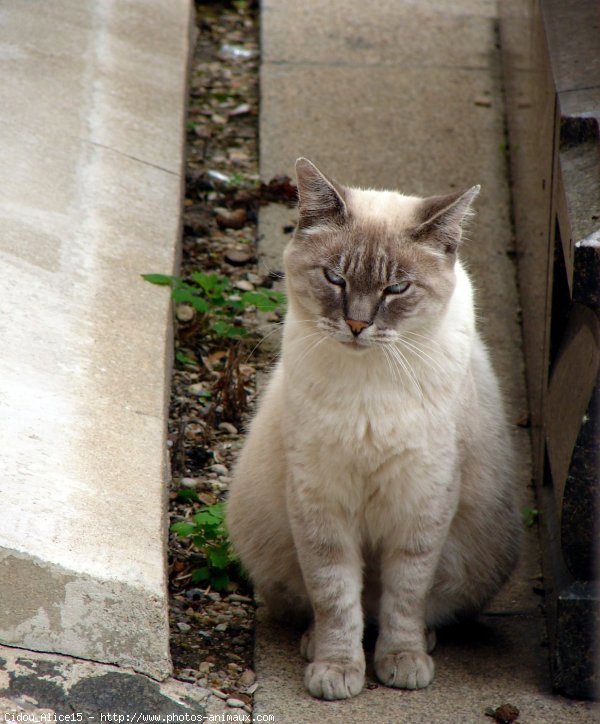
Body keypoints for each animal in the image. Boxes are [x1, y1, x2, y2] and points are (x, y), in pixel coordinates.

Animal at [227, 158, 524, 700]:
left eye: (396, 289)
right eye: (335, 279)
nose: (357, 325)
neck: (369, 382)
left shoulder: (422, 503)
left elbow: (404, 597)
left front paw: (401, 662)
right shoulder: (321, 502)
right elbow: (335, 597)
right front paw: (336, 669)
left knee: (409, 609)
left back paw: (422, 643)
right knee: (331, 607)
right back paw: (313, 644)